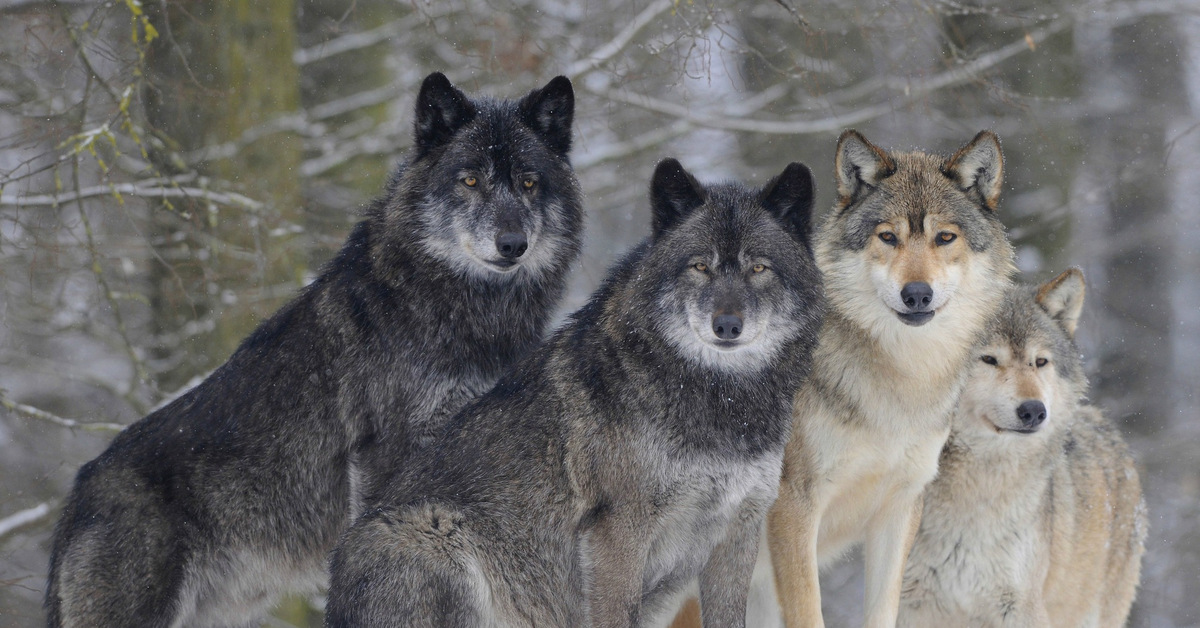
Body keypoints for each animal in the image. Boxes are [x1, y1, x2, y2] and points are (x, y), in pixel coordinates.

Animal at [45, 71, 585, 628]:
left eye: (528, 182)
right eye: (471, 180)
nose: (512, 243)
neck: (463, 312)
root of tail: (76, 498)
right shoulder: (384, 460)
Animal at [319, 158, 825, 628]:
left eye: (758, 268)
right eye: (700, 266)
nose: (727, 325)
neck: (722, 402)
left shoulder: (737, 533)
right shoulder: (619, 530)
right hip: (436, 534)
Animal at [763, 129, 1017, 628]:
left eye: (944, 237)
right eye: (888, 236)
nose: (917, 294)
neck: (902, 381)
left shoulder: (900, 507)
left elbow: (884, 609)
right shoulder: (793, 507)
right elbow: (809, 611)